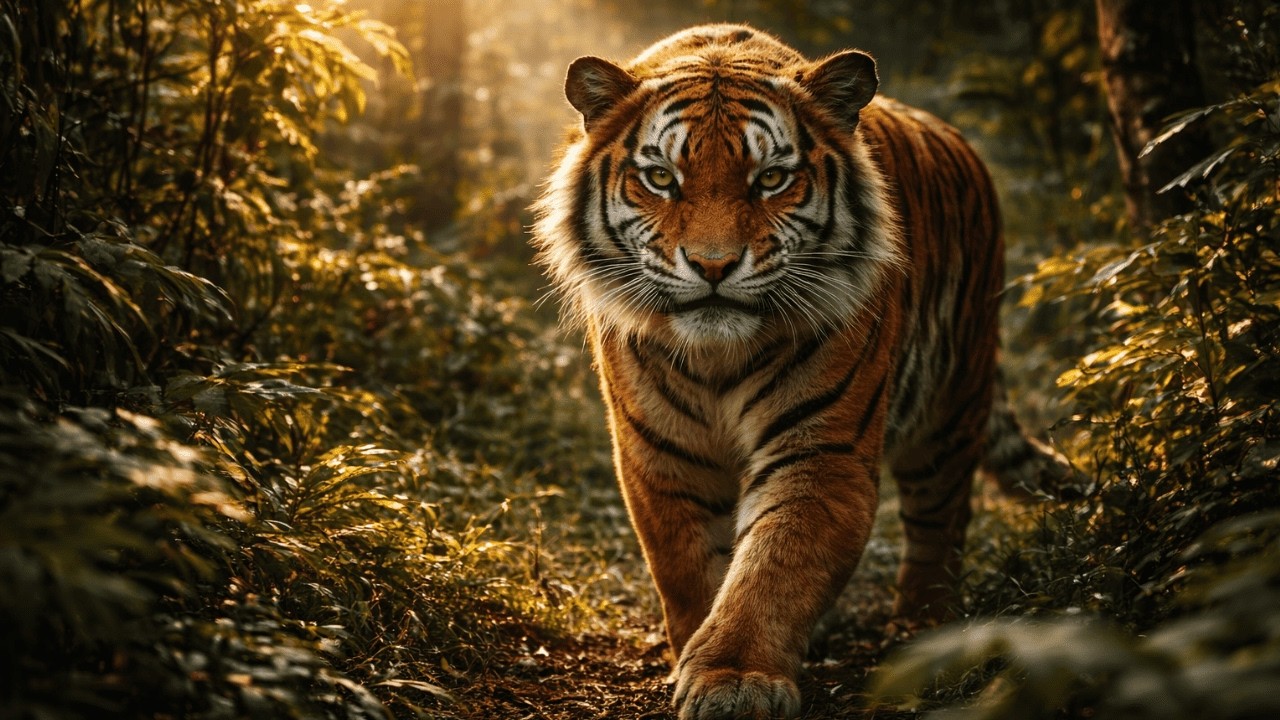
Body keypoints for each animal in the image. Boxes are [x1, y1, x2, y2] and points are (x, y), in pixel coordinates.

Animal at [531, 24, 1072, 720]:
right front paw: (694, 656)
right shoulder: (662, 455)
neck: (718, 356)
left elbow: (775, 566)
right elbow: (687, 568)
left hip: (951, 411)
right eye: (659, 177)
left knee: (939, 526)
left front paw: (735, 678)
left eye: (771, 178)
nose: (713, 265)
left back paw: (926, 634)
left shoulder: (822, 453)